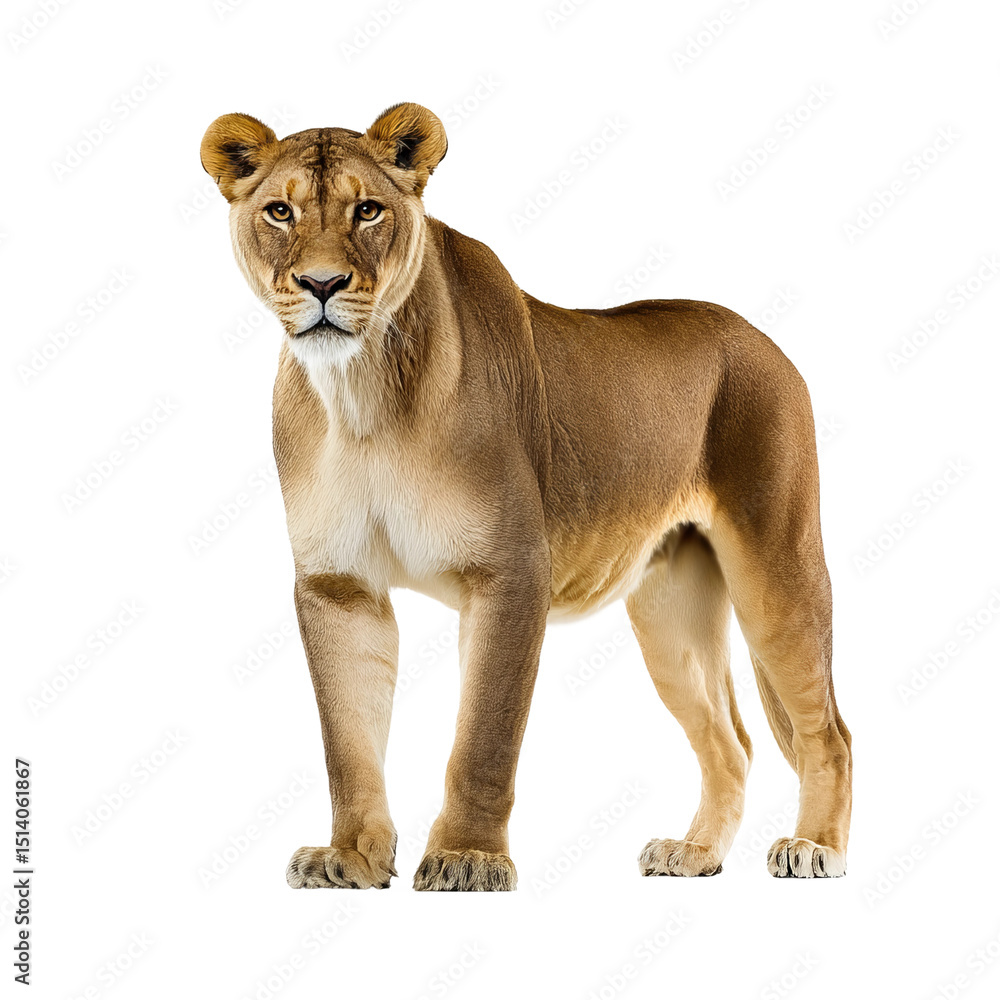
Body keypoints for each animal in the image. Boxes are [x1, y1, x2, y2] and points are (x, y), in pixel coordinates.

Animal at [200, 102, 852, 890]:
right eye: (279, 211)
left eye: (367, 210)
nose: (321, 284)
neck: (361, 398)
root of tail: (764, 340)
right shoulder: (338, 585)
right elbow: (347, 741)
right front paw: (350, 858)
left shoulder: (510, 571)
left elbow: (485, 733)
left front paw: (466, 857)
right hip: (669, 608)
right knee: (732, 742)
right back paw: (693, 854)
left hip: (776, 566)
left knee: (828, 732)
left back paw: (815, 847)